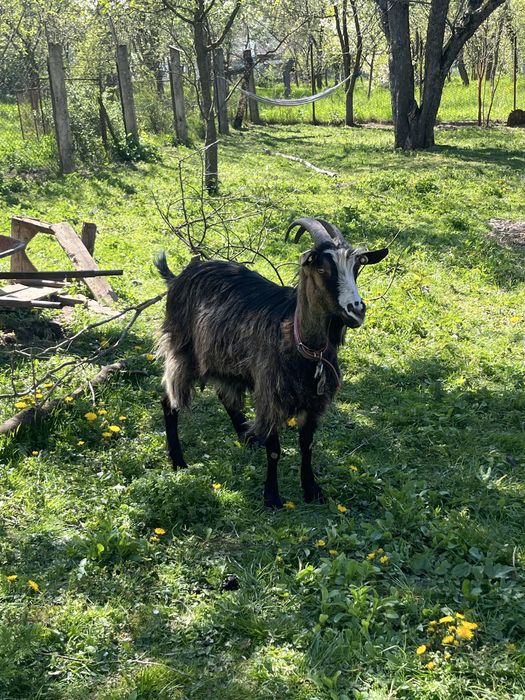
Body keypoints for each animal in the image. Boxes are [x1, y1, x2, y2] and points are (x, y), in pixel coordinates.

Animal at [156, 218, 388, 508]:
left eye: (357, 268)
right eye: (322, 268)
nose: (356, 310)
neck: (304, 347)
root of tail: (178, 277)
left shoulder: (313, 401)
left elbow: (307, 445)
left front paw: (312, 489)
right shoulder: (270, 394)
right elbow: (275, 450)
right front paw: (272, 497)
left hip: (224, 359)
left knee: (225, 394)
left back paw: (247, 435)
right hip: (182, 350)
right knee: (169, 399)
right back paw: (179, 461)